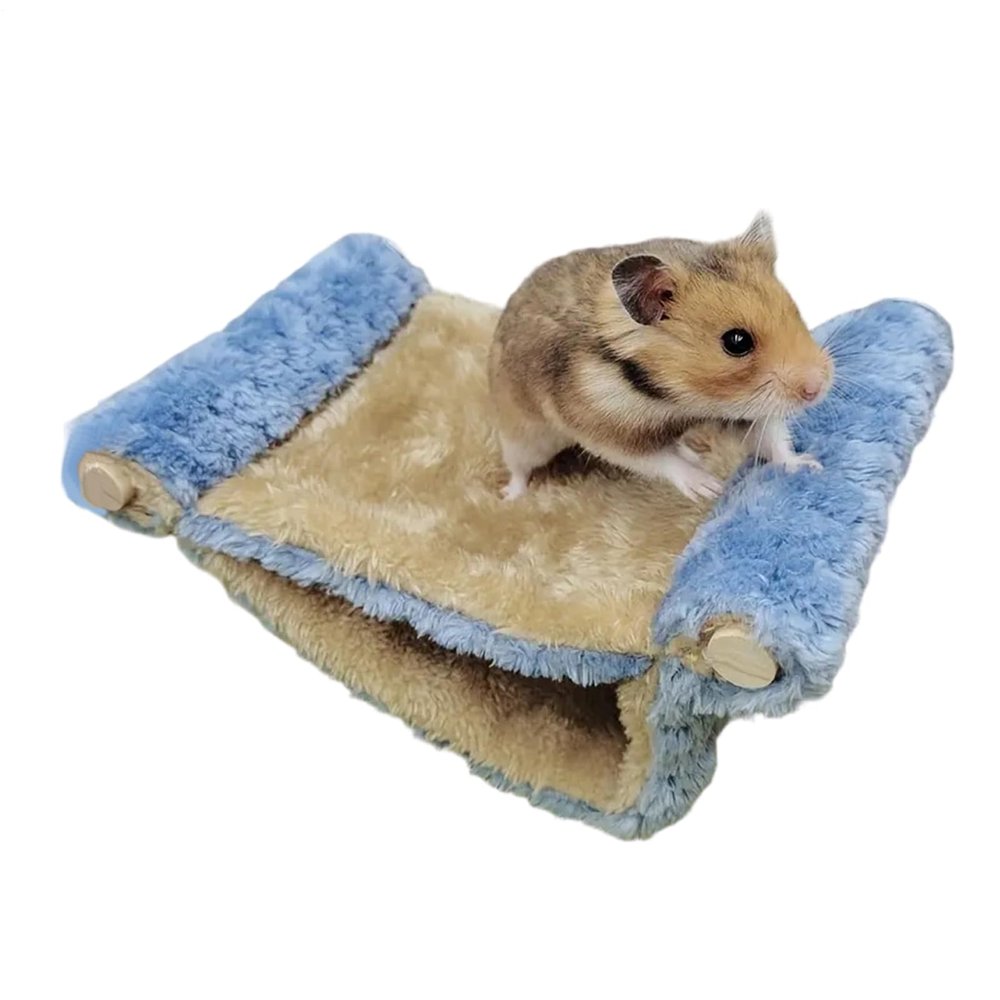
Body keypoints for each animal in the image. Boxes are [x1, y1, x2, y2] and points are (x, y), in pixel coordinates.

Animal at [488, 213, 833, 500]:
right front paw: (710, 488)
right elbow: (658, 459)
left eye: (796, 312)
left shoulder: (741, 410)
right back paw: (509, 497)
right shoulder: (604, 430)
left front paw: (809, 465)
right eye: (737, 342)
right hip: (523, 436)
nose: (817, 389)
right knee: (519, 467)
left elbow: (772, 439)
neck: (679, 399)